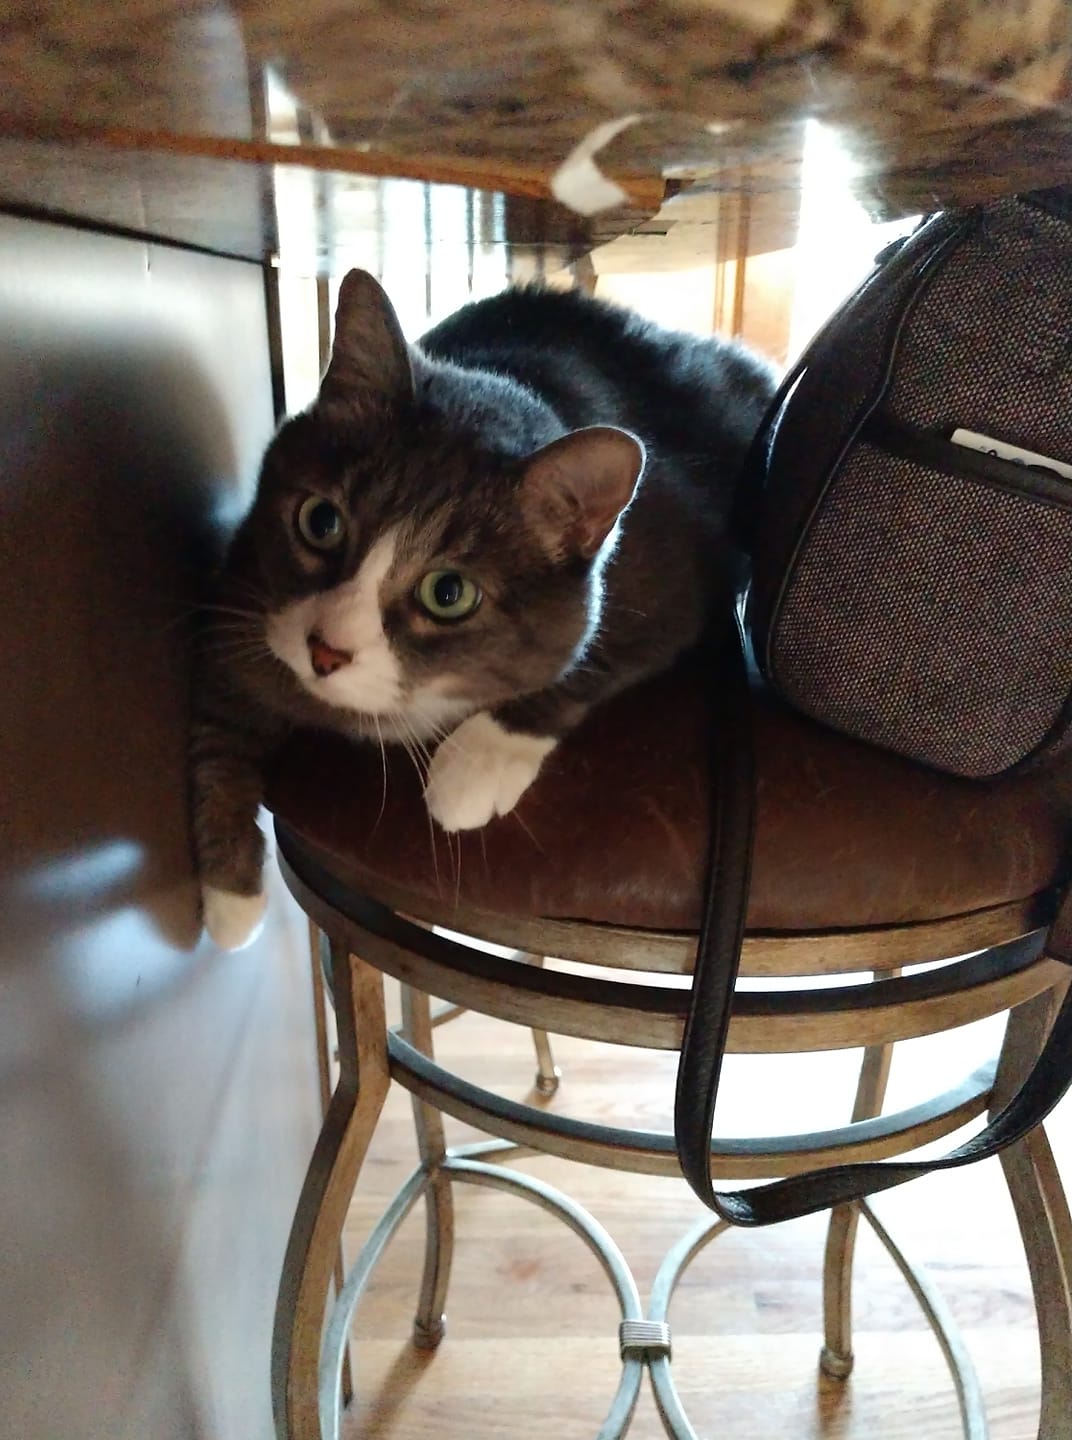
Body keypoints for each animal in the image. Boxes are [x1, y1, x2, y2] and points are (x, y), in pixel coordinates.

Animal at [190, 269, 774, 949]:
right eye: (320, 521)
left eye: (448, 594)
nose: (325, 652)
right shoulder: (240, 596)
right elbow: (216, 727)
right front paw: (230, 899)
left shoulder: (679, 577)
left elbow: (590, 657)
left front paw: (476, 763)